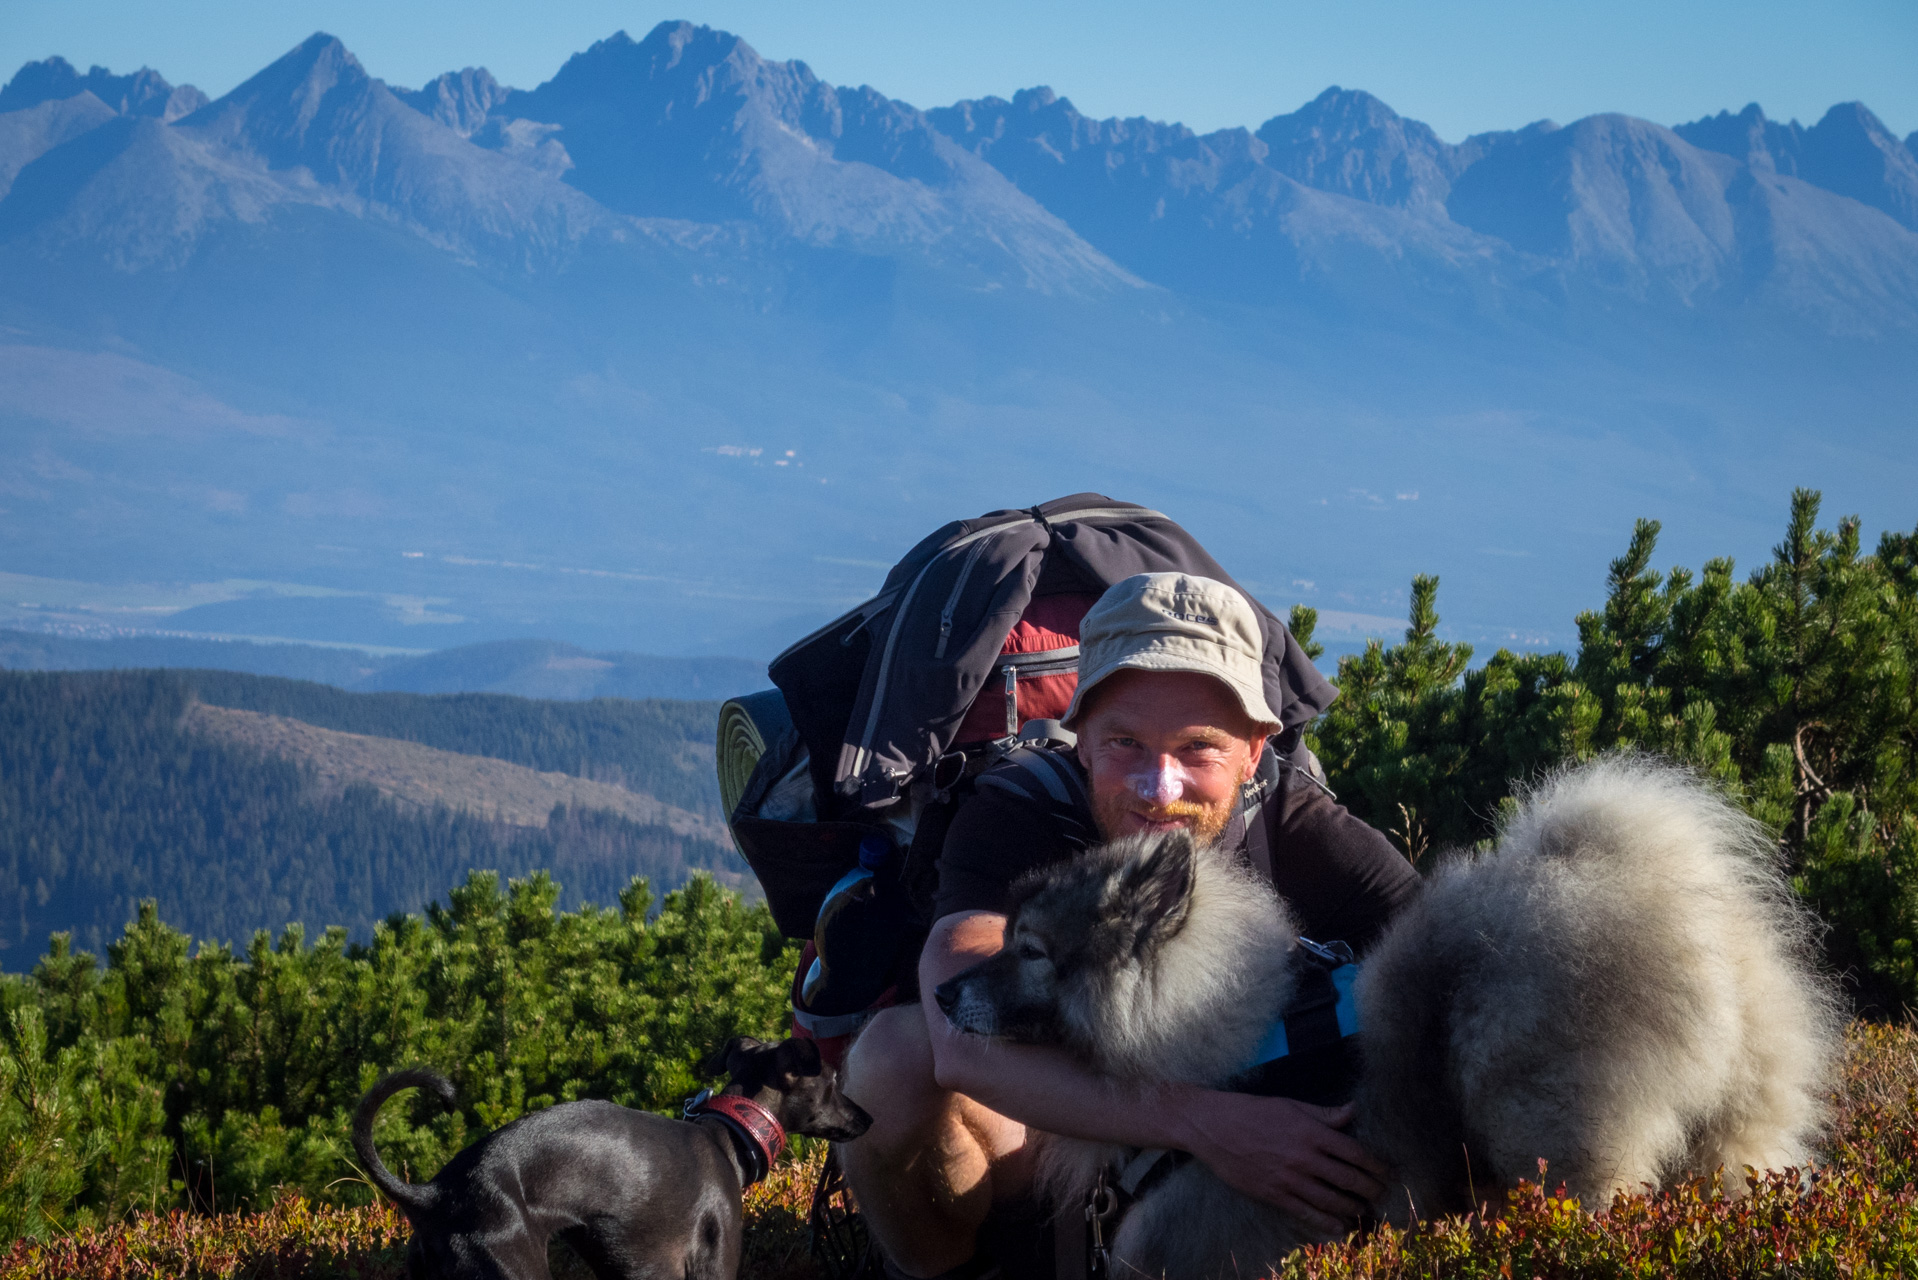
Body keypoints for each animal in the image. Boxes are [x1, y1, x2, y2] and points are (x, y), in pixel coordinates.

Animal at [935, 756, 1848, 1280]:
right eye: (1006, 937)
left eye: (1033, 951)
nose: (940, 996)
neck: (1223, 1040)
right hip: (1731, 1150)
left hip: (1559, 1150)